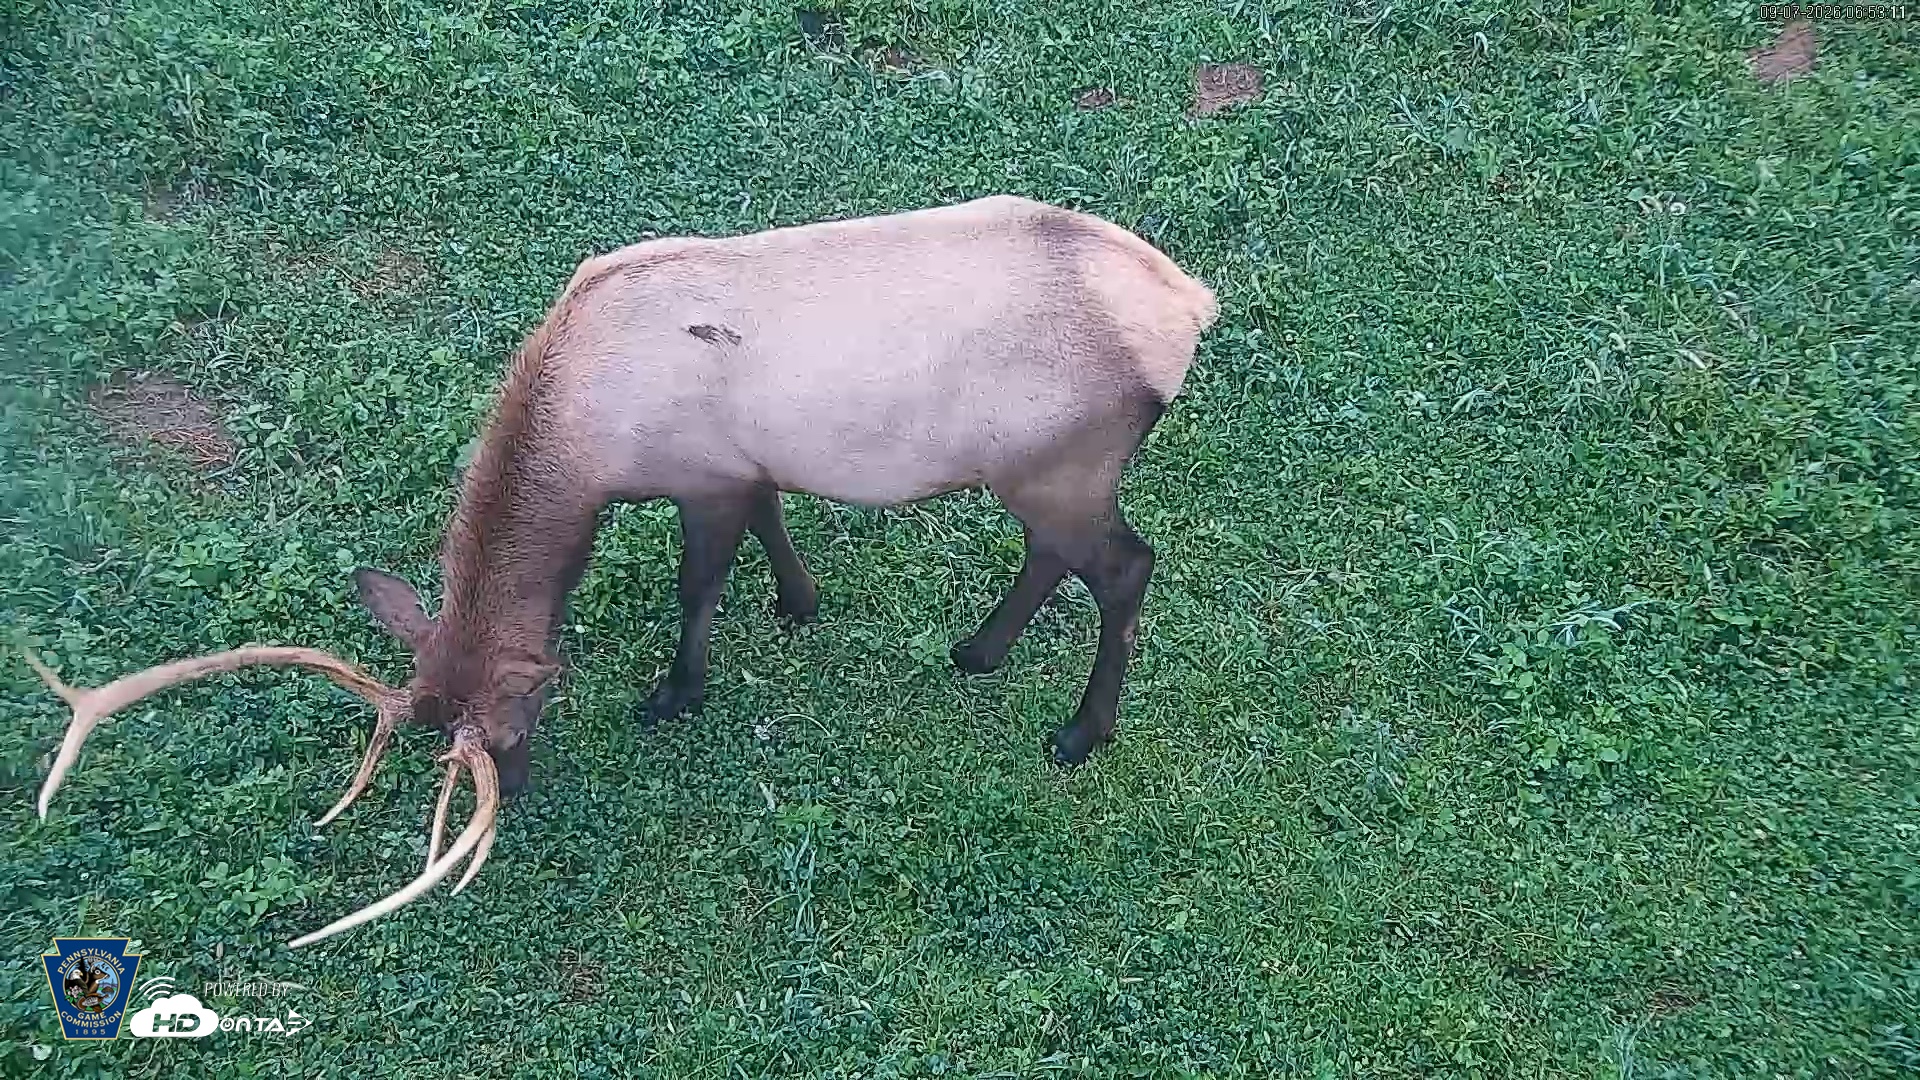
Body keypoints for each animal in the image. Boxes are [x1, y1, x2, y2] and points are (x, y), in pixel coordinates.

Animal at [26, 194, 1218, 947]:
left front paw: (675, 692)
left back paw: (1079, 730)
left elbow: (698, 590)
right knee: (1061, 558)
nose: (523, 794)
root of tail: (1189, 309)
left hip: (1061, 464)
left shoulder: (700, 477)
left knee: (1125, 565)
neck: (588, 445)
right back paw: (977, 651)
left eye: (506, 730)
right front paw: (798, 605)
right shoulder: (741, 468)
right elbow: (773, 531)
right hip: (1038, 474)